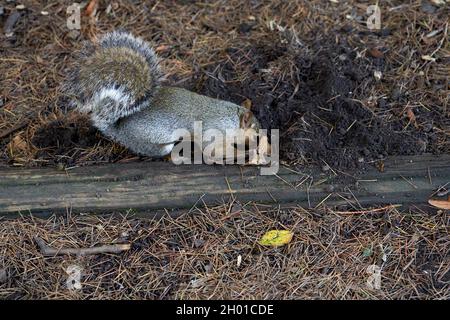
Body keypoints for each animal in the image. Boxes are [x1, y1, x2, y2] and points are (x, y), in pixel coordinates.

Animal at [67, 30, 264, 158]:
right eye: (256, 133)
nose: (258, 144)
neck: (229, 118)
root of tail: (119, 130)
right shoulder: (212, 132)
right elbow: (213, 150)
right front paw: (243, 153)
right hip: (155, 143)